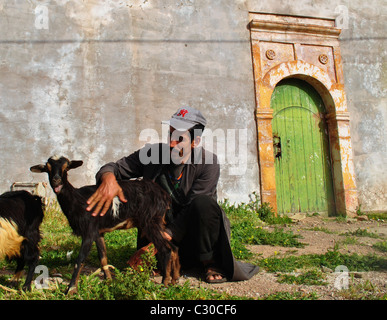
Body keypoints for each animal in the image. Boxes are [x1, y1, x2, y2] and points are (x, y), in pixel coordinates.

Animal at [30, 156, 180, 294]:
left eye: (66, 167)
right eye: (47, 168)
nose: (56, 180)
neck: (78, 200)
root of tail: (164, 196)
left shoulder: (89, 231)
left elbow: (80, 259)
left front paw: (71, 289)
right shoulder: (98, 232)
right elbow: (103, 259)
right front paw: (109, 282)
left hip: (150, 222)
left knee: (166, 249)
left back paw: (164, 282)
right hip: (157, 223)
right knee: (173, 247)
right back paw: (174, 279)